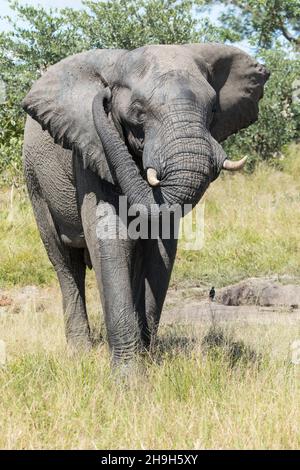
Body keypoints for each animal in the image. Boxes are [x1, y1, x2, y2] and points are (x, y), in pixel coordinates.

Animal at [21, 43, 270, 368]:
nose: (103, 97)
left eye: (213, 109)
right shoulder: (90, 149)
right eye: (138, 112)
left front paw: (147, 359)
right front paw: (129, 375)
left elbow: (160, 248)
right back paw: (80, 354)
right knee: (65, 263)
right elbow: (110, 237)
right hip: (35, 184)